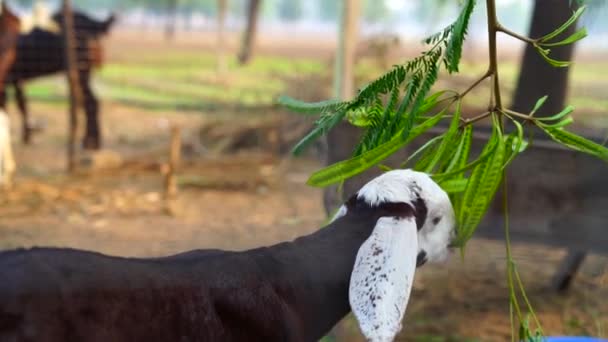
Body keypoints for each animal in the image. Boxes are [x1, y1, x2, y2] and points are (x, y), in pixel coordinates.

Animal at [1, 10, 116, 148]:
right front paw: (27, 136)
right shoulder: (17, 79)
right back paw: (91, 140)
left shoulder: (8, 79)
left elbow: (8, 107)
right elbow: (22, 104)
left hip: (80, 71)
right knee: (89, 101)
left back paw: (90, 142)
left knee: (91, 101)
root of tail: (94, 24)